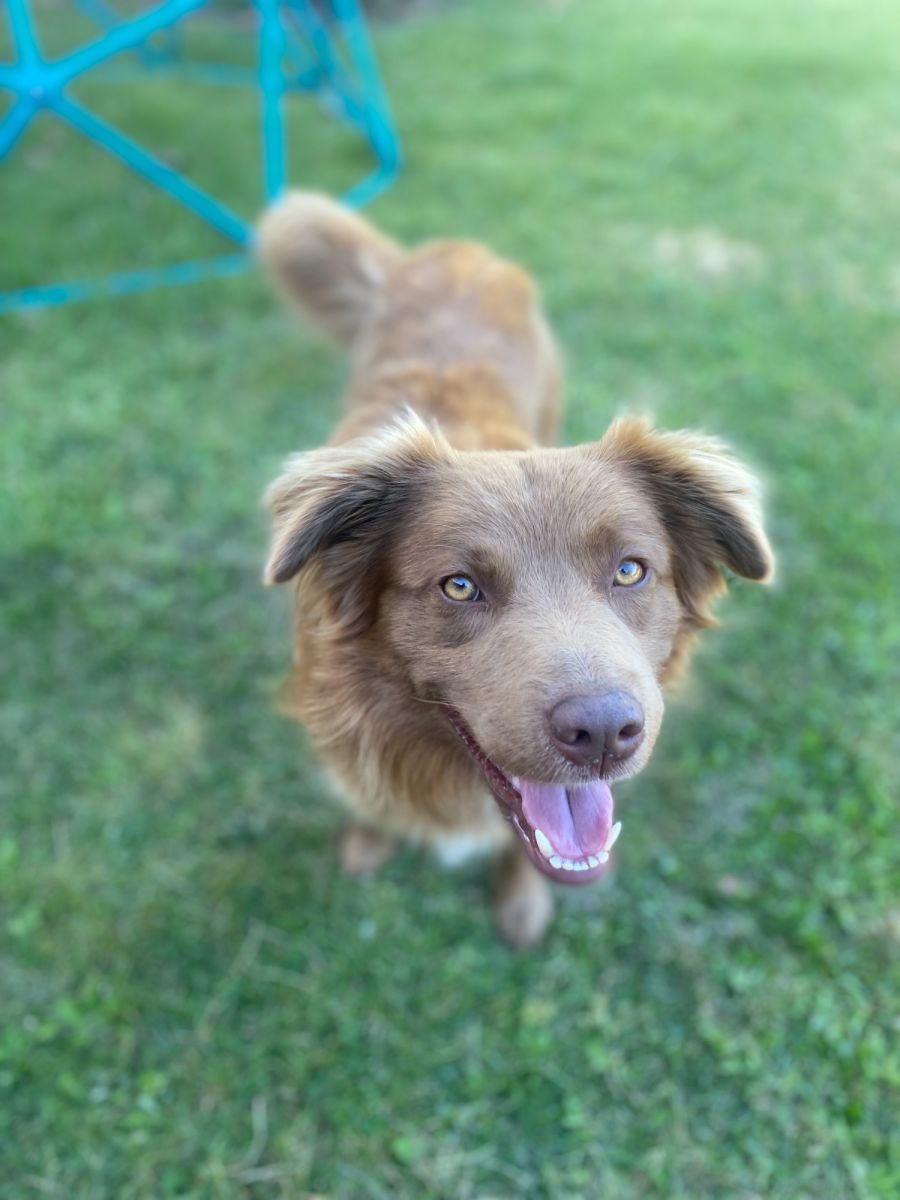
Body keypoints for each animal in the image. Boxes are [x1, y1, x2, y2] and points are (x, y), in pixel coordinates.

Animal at [259, 193, 774, 946]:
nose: (603, 733)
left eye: (629, 571)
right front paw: (370, 839)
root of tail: (455, 248)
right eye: (460, 586)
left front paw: (522, 898)